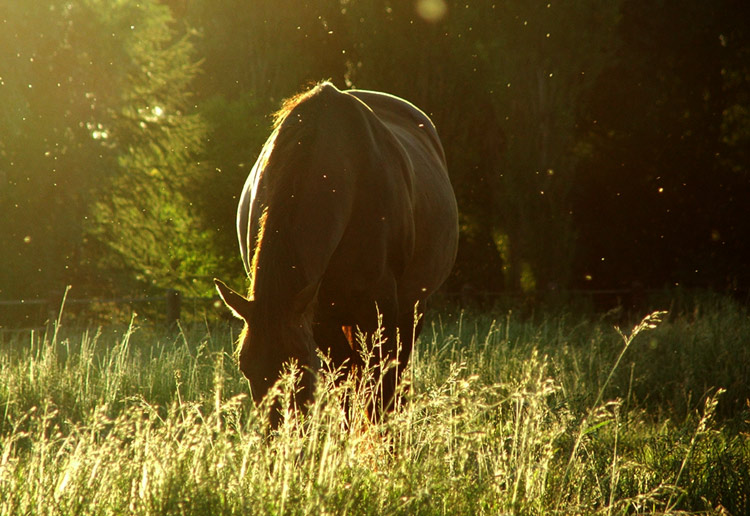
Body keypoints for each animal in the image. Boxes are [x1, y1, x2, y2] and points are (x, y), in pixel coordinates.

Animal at [213, 82, 458, 426]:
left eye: (300, 367)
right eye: (245, 367)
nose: (280, 434)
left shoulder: (380, 309)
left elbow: (378, 389)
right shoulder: (320, 317)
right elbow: (345, 385)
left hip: (412, 307)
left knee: (395, 374)